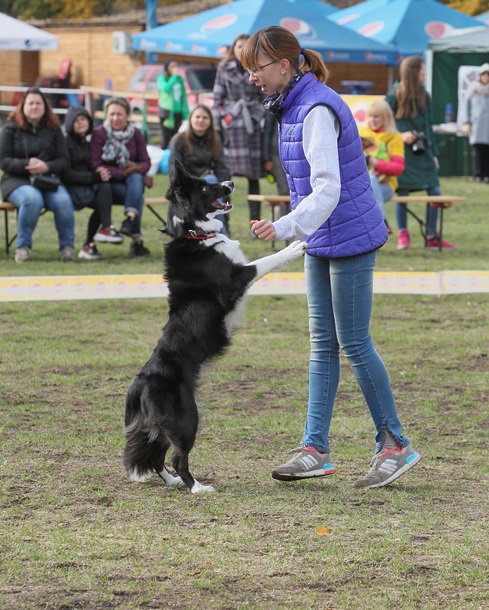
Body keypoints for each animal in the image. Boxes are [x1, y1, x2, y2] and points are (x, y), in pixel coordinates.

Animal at [122, 162, 304, 494]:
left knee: (157, 456)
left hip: (168, 422)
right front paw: (294, 248)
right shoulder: (237, 277)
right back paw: (197, 487)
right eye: (205, 187)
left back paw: (172, 481)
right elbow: (267, 261)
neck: (193, 233)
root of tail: (139, 386)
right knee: (178, 457)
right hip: (186, 417)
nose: (231, 183)